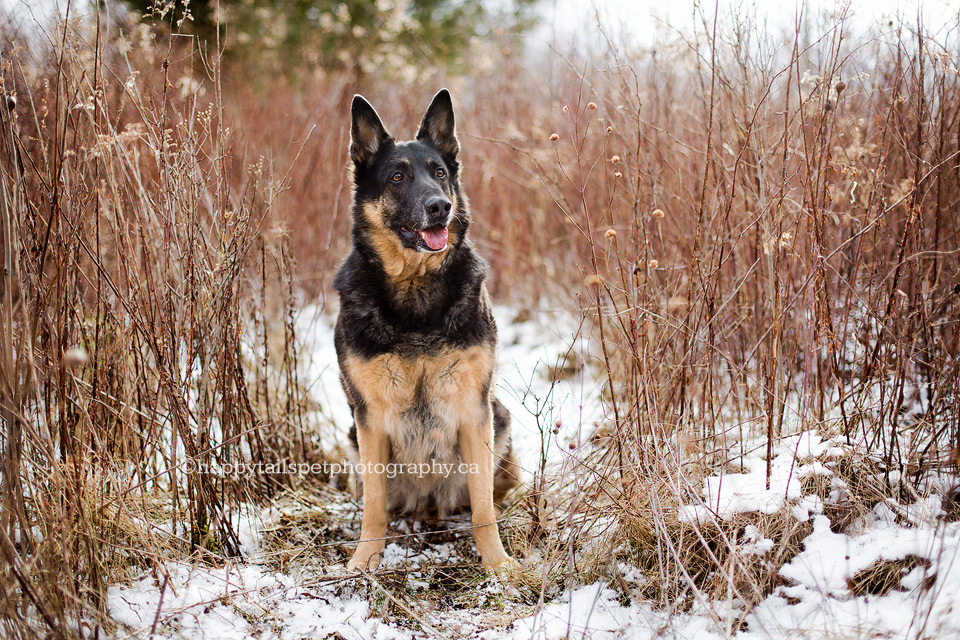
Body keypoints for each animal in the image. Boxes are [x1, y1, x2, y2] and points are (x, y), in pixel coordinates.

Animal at [336, 89, 516, 568]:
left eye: (439, 173)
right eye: (397, 176)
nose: (440, 206)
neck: (415, 288)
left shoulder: (475, 412)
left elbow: (484, 509)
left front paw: (498, 564)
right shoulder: (369, 419)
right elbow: (374, 506)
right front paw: (365, 560)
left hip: (500, 417)